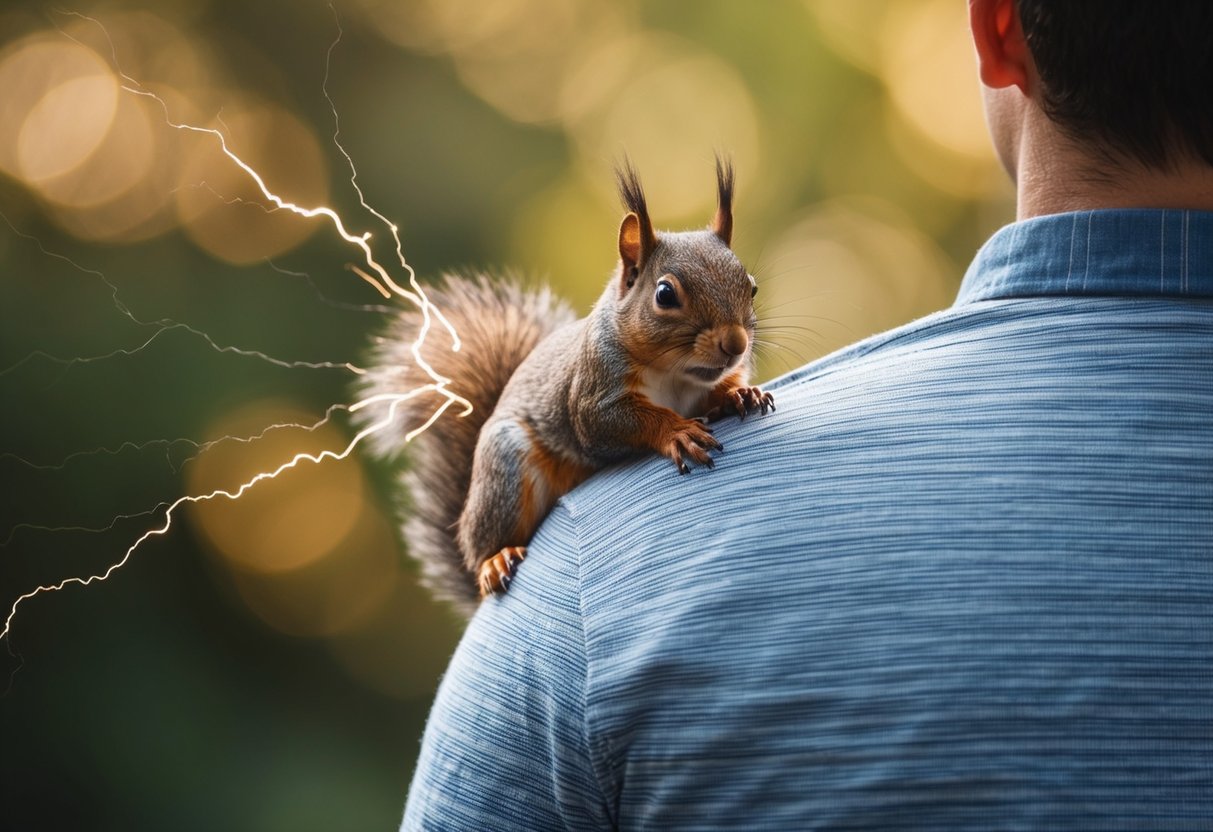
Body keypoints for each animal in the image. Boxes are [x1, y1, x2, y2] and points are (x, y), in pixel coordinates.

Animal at [358, 158, 773, 615]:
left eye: (751, 286)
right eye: (665, 294)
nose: (736, 344)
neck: (675, 375)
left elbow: (717, 391)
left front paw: (740, 393)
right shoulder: (591, 395)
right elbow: (613, 421)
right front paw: (676, 431)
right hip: (504, 467)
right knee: (484, 540)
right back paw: (493, 560)